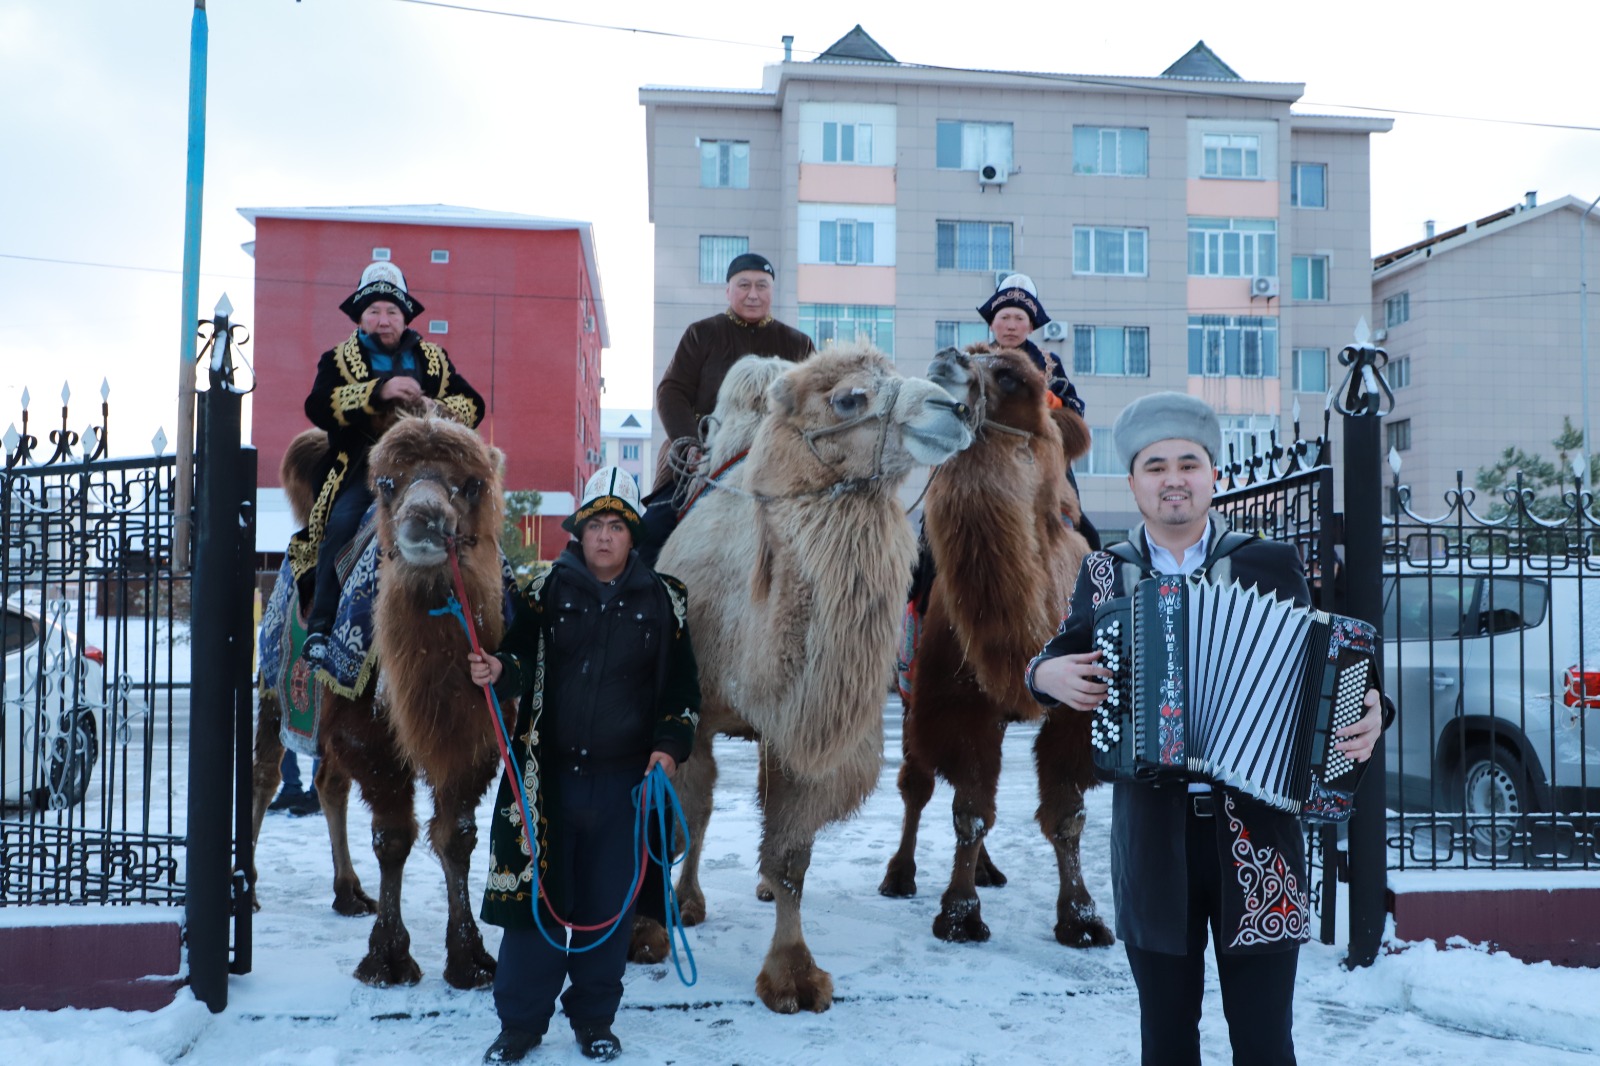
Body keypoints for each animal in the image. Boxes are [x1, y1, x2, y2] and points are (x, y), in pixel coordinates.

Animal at [249, 409, 505, 985]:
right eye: (388, 483)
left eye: (472, 483)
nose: (425, 517)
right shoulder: (368, 736)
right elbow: (393, 838)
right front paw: (388, 958)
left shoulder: (475, 736)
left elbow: (457, 836)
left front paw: (470, 958)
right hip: (273, 690)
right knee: (264, 777)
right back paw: (245, 889)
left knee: (329, 783)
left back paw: (348, 893)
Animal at [649, 344, 972, 1011]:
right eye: (849, 398)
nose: (952, 408)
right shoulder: (689, 716)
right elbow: (680, 815)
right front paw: (654, 926)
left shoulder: (807, 726)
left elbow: (793, 857)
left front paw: (792, 975)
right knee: (700, 812)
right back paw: (688, 902)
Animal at [876, 342, 1113, 947]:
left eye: (1011, 376)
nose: (947, 356)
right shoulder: (958, 702)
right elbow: (969, 809)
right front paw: (960, 913)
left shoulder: (1076, 712)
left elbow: (1066, 814)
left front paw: (1082, 917)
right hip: (911, 695)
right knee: (917, 785)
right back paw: (901, 875)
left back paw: (986, 869)